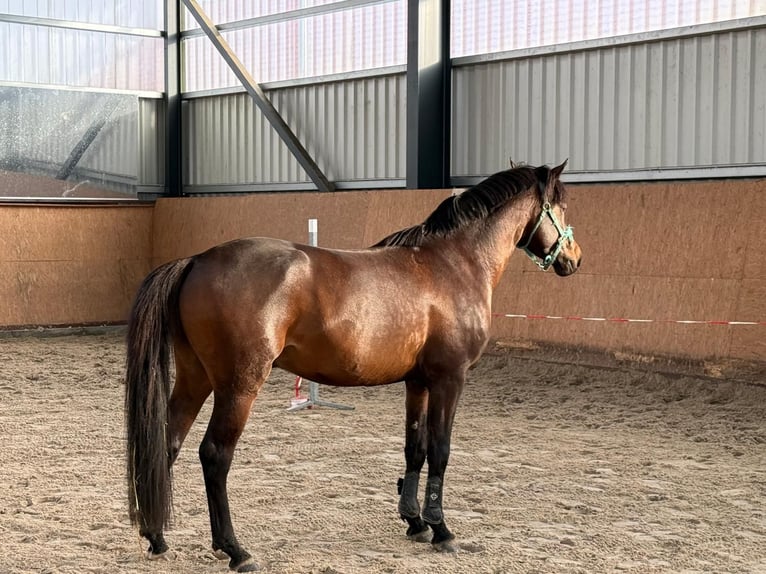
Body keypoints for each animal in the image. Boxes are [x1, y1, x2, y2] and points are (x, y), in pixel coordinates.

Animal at [124, 160, 584, 572]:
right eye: (561, 206)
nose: (574, 258)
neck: (454, 263)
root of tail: (197, 260)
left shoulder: (418, 382)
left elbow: (415, 448)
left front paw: (415, 522)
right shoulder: (450, 379)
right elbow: (440, 451)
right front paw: (441, 529)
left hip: (194, 379)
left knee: (167, 443)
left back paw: (156, 536)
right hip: (238, 386)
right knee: (215, 455)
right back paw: (235, 549)